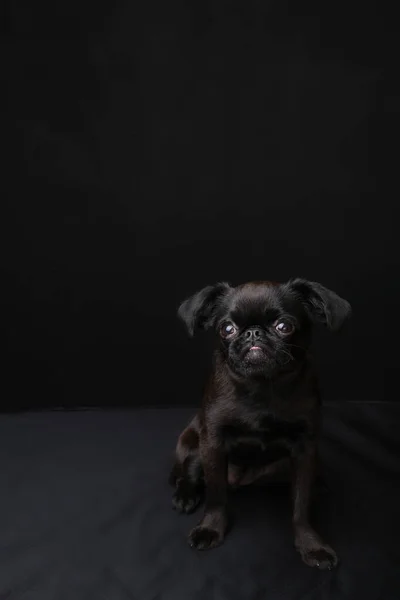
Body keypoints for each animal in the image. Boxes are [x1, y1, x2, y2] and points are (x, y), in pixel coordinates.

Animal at [170, 278, 352, 568]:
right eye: (227, 329)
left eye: (284, 326)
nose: (253, 333)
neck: (262, 385)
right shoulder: (213, 443)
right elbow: (216, 495)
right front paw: (210, 528)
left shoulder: (305, 450)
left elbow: (301, 504)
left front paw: (311, 544)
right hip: (193, 445)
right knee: (187, 472)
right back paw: (185, 495)